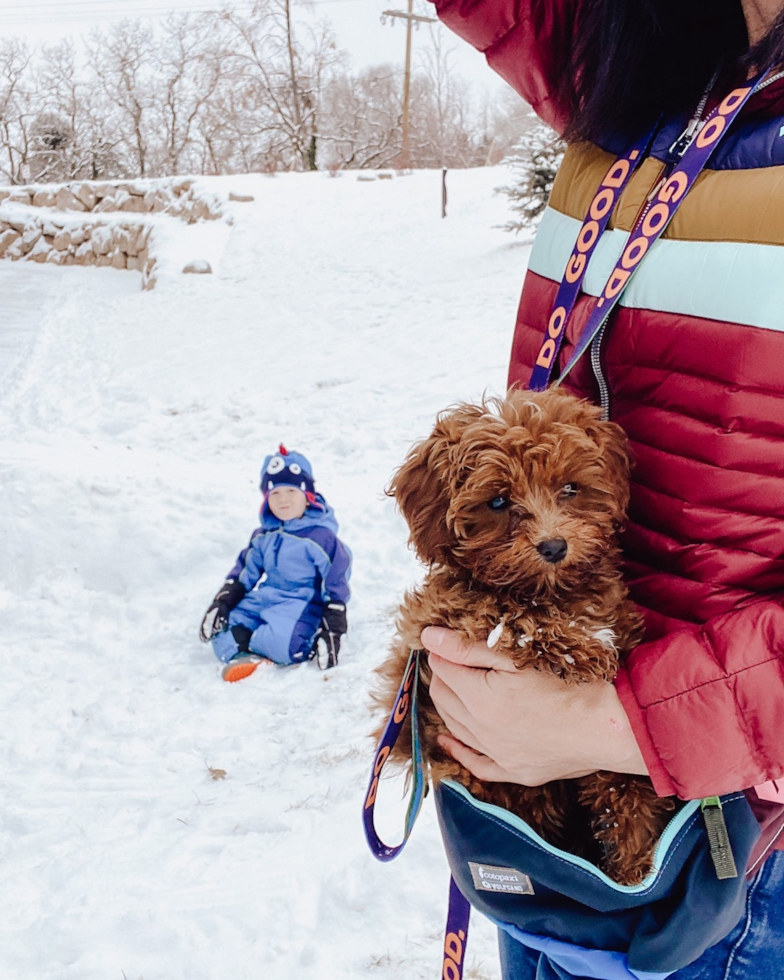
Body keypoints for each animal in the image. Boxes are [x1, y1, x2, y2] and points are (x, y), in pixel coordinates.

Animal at [372, 386, 672, 884]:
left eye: (570, 489)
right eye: (497, 502)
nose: (553, 546)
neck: (549, 590)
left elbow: (625, 787)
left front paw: (633, 857)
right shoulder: (439, 615)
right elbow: (501, 613)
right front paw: (579, 649)